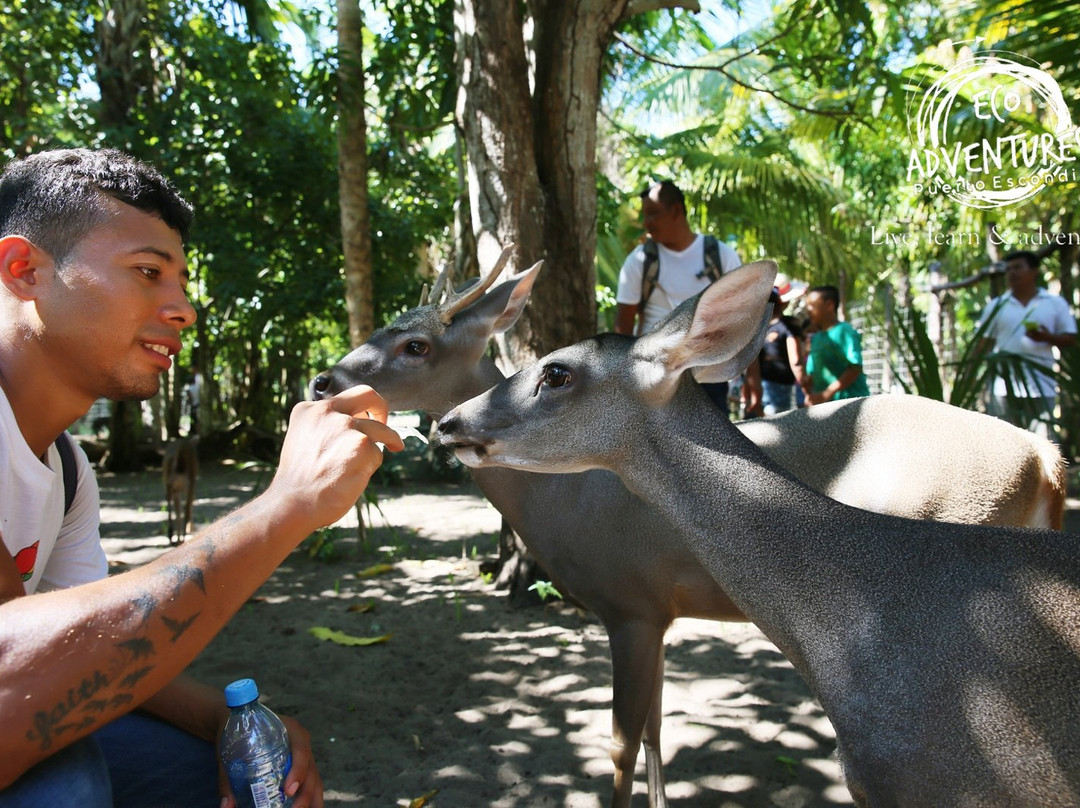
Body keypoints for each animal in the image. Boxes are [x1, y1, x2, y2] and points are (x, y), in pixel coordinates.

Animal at [308, 247, 1067, 808]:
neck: (564, 505)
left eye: (415, 344)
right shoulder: (664, 611)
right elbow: (654, 727)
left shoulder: (630, 604)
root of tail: (1047, 458)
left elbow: (621, 741)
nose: (322, 381)